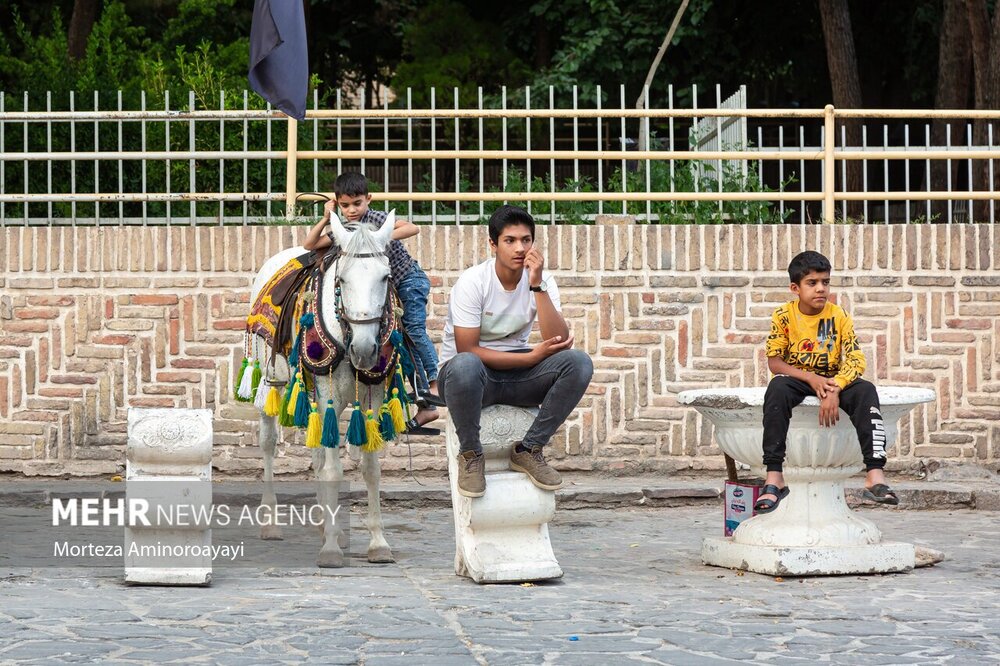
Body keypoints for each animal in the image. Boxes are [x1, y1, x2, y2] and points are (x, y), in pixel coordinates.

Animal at [248, 211, 396, 564]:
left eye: (385, 277)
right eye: (340, 280)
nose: (365, 349)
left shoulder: (372, 394)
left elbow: (370, 468)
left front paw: (377, 543)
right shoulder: (327, 391)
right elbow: (333, 471)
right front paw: (330, 550)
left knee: (317, 451)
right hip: (272, 380)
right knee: (269, 442)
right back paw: (271, 524)